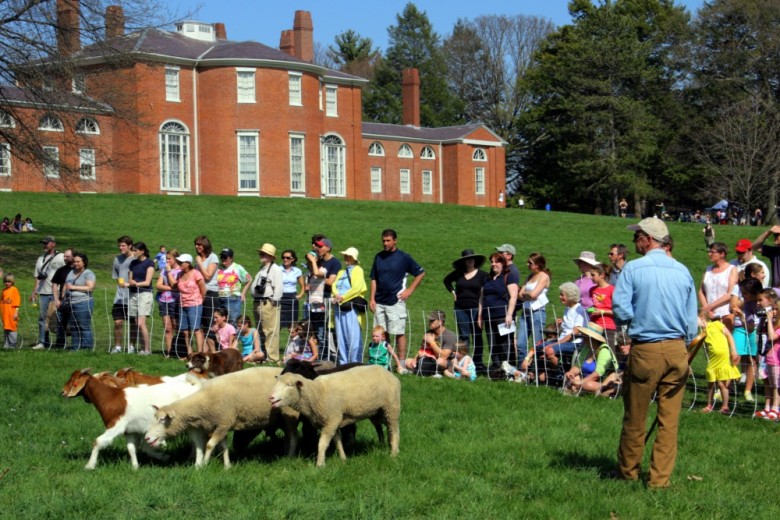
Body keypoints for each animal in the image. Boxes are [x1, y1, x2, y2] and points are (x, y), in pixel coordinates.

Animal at [145, 366, 298, 468]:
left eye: (162, 420)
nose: (147, 437)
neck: (204, 401)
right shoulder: (222, 425)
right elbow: (223, 446)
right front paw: (227, 466)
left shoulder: (223, 423)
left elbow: (209, 445)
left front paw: (204, 464)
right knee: (286, 435)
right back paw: (284, 450)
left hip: (289, 414)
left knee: (292, 435)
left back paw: (290, 455)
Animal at [270, 364, 402, 466]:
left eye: (289, 385)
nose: (271, 397)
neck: (317, 393)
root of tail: (387, 371)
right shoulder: (333, 420)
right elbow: (337, 440)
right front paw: (343, 458)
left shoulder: (331, 420)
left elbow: (322, 443)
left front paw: (320, 464)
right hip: (377, 412)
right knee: (383, 427)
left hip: (391, 407)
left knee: (394, 429)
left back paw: (394, 453)